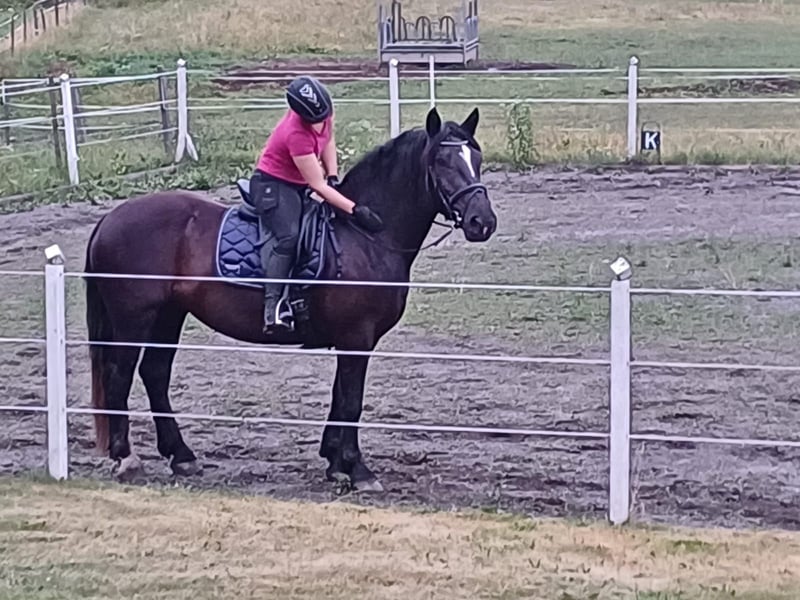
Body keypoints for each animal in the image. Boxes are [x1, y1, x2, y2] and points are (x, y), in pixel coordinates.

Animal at [83, 106, 498, 492]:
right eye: (442, 162)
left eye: (476, 160)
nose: (483, 222)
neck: (365, 235)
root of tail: (110, 219)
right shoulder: (356, 337)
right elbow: (352, 401)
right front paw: (358, 470)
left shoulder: (350, 340)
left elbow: (339, 396)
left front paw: (335, 463)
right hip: (135, 318)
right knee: (120, 373)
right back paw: (126, 457)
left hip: (169, 315)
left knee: (155, 373)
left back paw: (181, 456)